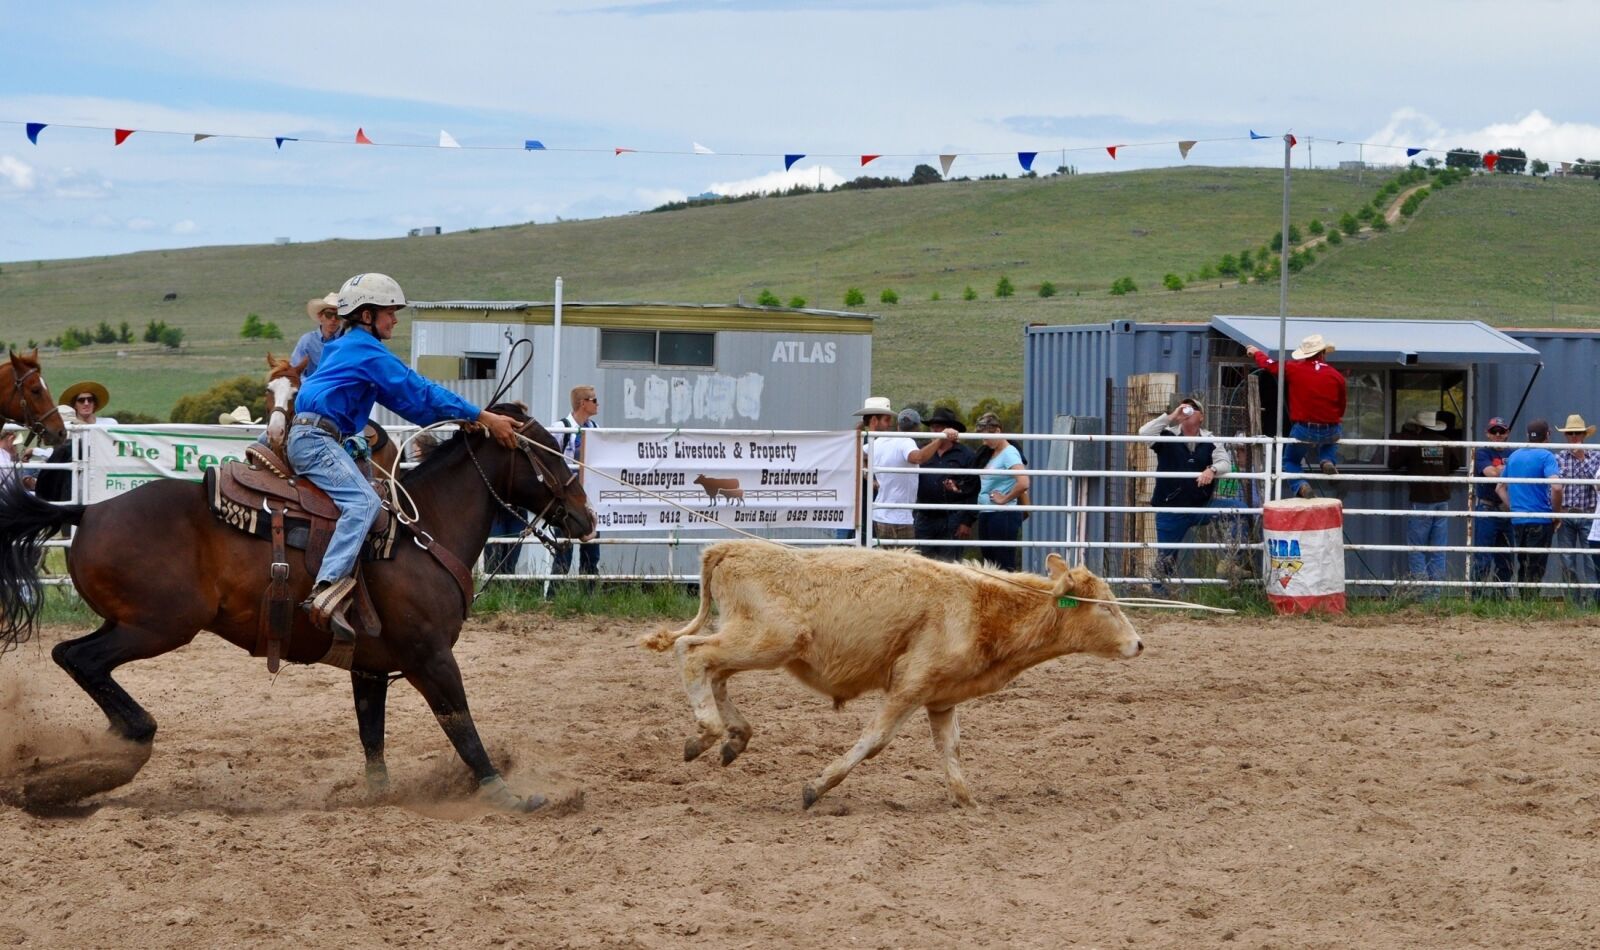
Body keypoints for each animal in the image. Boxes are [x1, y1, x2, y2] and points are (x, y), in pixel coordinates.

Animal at [641, 540, 1143, 809]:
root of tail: (728, 548)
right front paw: (816, 787)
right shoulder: (909, 686)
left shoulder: (941, 698)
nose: (1139, 644)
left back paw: (733, 737)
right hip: (769, 639)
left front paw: (967, 801)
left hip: (752, 641)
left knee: (714, 671)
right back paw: (707, 733)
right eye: (1108, 607)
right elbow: (874, 740)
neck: (981, 609)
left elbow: (950, 749)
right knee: (693, 653)